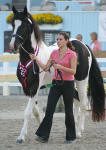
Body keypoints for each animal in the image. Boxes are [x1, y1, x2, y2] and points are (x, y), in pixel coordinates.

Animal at [9, 6, 105, 143]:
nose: (12, 46)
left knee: (83, 103)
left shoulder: (35, 87)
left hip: (81, 81)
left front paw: (21, 137)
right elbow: (35, 111)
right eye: (13, 24)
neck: (31, 59)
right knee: (76, 101)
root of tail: (84, 45)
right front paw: (39, 130)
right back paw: (76, 129)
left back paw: (79, 132)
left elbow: (27, 112)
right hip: (71, 83)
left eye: (24, 25)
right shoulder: (27, 88)